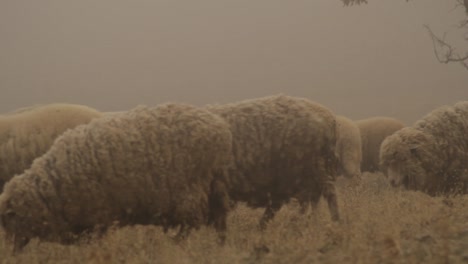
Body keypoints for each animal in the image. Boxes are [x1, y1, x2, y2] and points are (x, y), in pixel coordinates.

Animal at [0, 101, 233, 252]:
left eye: (10, 219)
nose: (12, 254)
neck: (53, 186)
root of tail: (219, 128)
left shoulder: (96, 218)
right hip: (215, 187)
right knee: (219, 222)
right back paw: (219, 247)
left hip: (191, 192)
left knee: (191, 225)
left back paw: (176, 245)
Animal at [207, 94, 338, 228]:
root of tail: (329, 118)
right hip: (309, 172)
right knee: (311, 200)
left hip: (311, 169)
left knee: (326, 195)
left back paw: (331, 222)